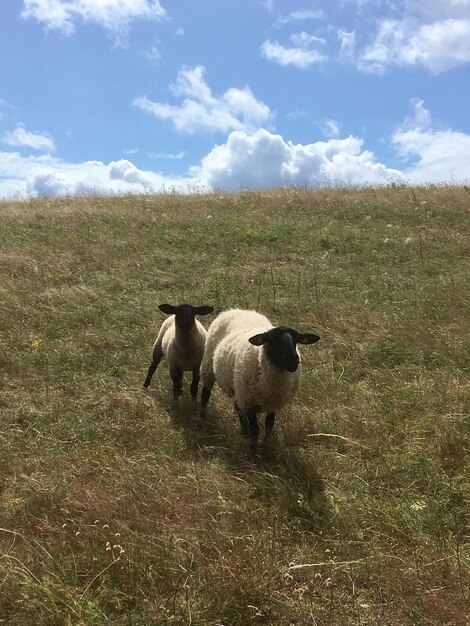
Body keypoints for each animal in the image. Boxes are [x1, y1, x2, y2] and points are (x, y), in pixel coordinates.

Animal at [200, 308, 322, 448]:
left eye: (296, 339)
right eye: (272, 340)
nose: (293, 360)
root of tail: (237, 310)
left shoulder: (272, 403)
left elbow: (269, 425)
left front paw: (266, 446)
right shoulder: (250, 402)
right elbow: (255, 430)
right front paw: (253, 451)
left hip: (238, 387)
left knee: (238, 407)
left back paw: (243, 434)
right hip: (209, 366)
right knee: (205, 395)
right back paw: (201, 422)